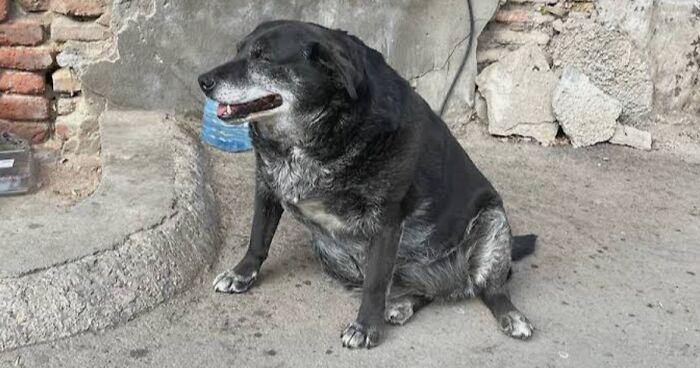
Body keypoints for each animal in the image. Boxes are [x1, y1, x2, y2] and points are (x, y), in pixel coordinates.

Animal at [198, 20, 536, 348]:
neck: (313, 137)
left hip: (494, 222)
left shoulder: (386, 221)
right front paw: (242, 274)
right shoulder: (267, 185)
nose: (203, 80)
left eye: (263, 57)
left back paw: (512, 316)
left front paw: (365, 327)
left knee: (491, 288)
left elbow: (375, 283)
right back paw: (403, 304)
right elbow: (258, 238)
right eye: (238, 51)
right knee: (424, 291)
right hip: (333, 254)